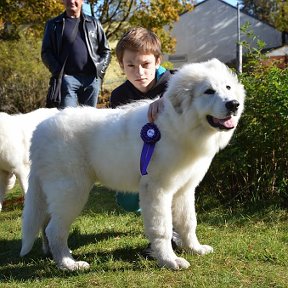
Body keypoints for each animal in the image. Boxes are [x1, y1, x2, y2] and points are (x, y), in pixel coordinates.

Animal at [20, 58, 245, 270]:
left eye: (227, 87)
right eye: (209, 91)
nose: (234, 104)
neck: (179, 127)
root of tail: (39, 130)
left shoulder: (185, 189)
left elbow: (189, 222)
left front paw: (195, 248)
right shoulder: (157, 189)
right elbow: (162, 228)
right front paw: (169, 260)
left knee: (45, 223)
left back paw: (51, 254)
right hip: (71, 191)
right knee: (54, 229)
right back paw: (68, 263)